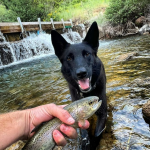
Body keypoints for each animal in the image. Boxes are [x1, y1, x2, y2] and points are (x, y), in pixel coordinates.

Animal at [51, 21, 106, 149]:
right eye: (69, 58)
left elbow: (97, 134)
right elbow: (84, 133)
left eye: (87, 54)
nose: (81, 73)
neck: (87, 94)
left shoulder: (102, 113)